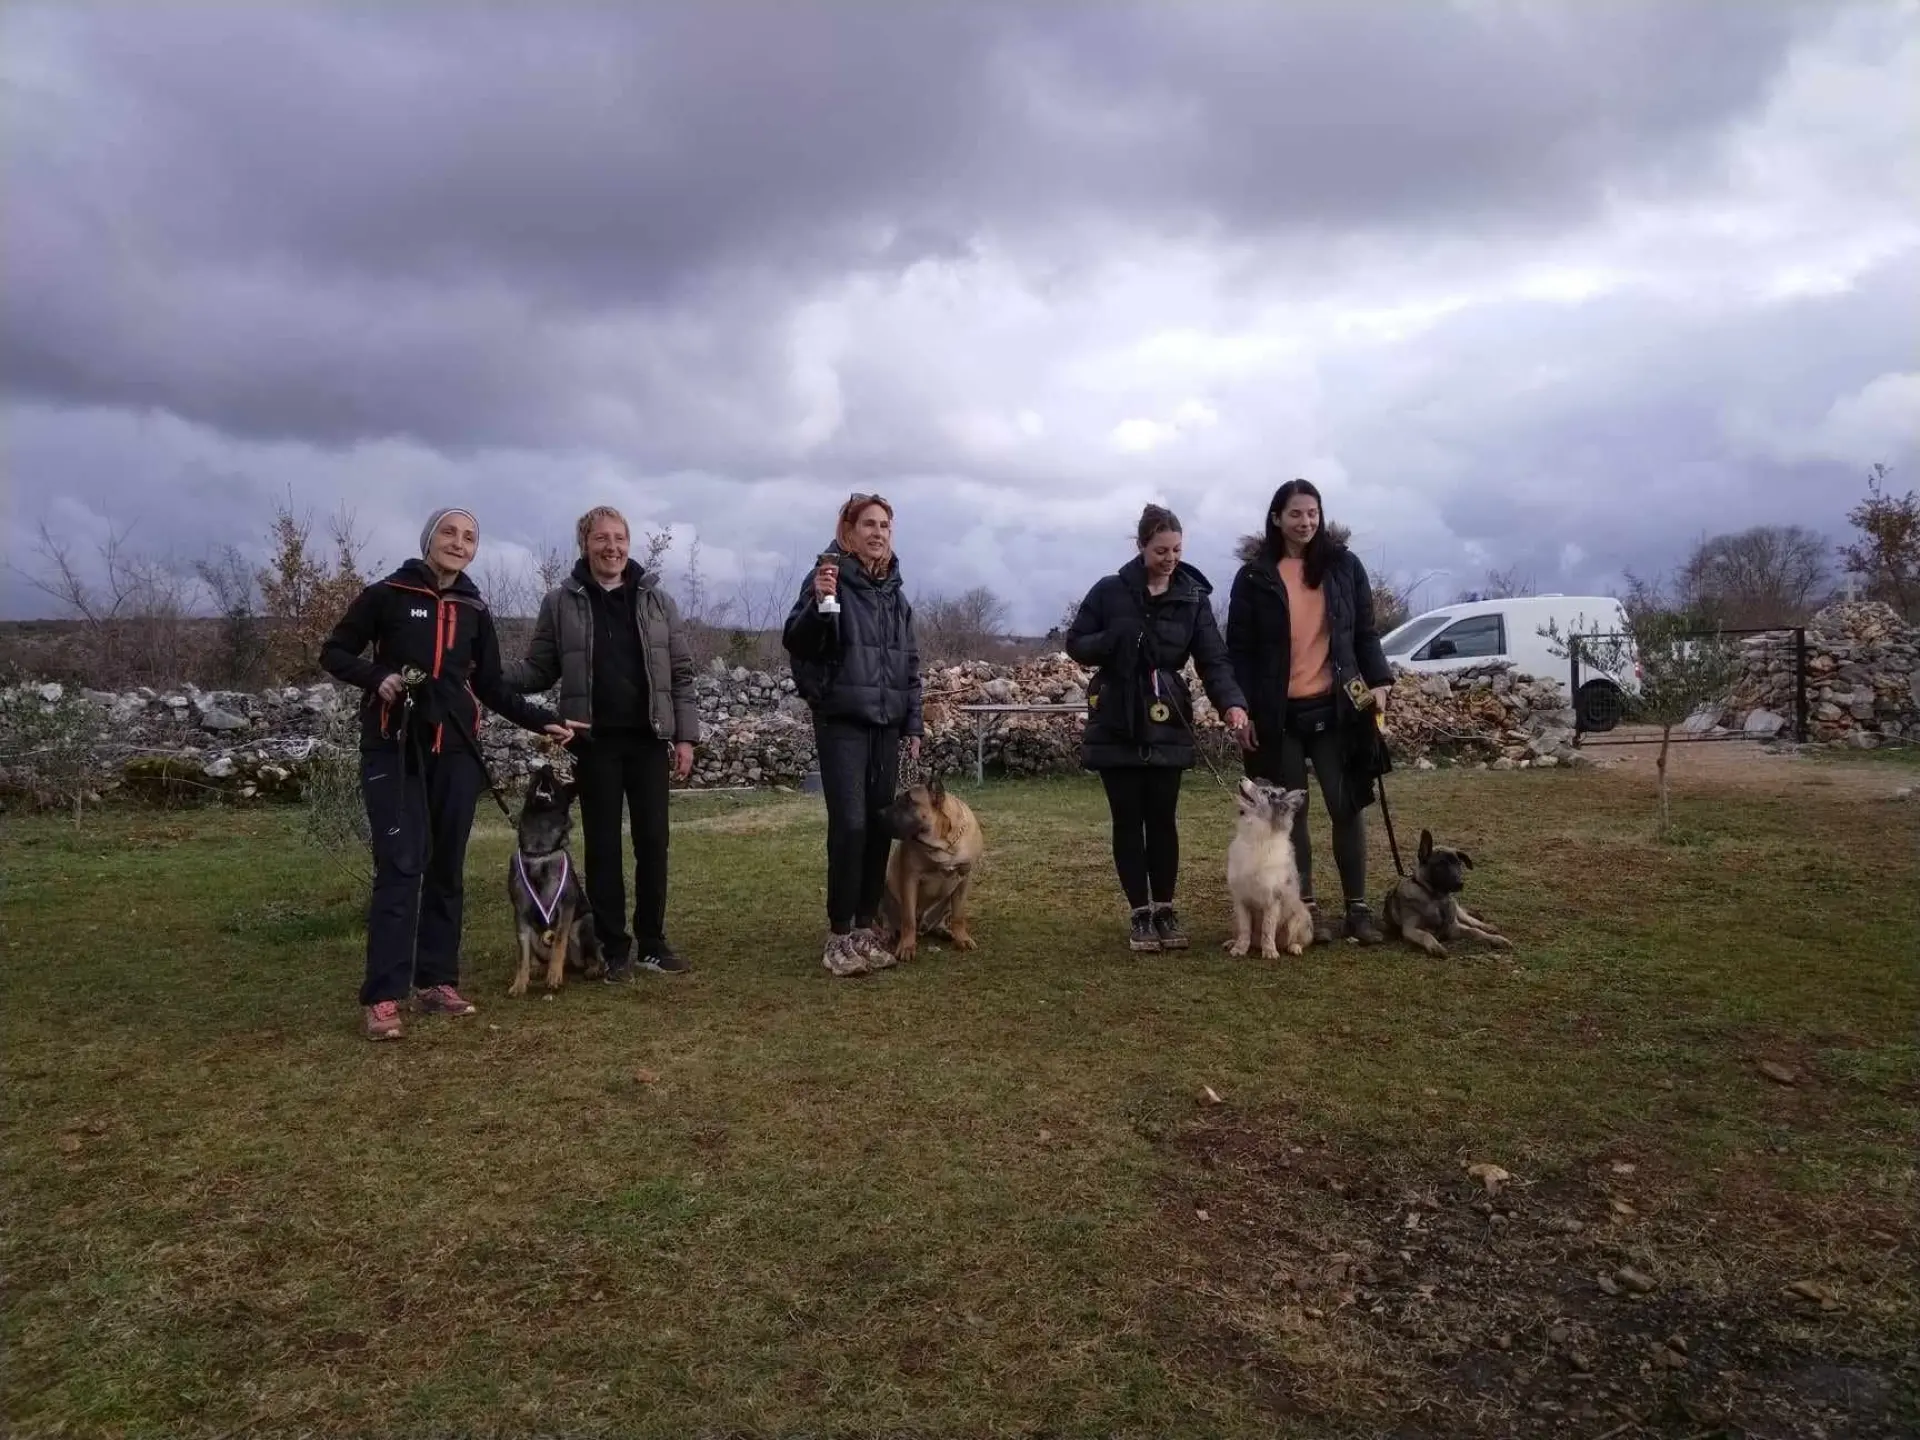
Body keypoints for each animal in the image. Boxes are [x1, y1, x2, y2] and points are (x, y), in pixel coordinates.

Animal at [506, 765, 606, 996]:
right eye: (534, 777)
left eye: (557, 780)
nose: (546, 767)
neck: (539, 850)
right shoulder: (520, 913)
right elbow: (522, 956)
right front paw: (520, 983)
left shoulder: (566, 906)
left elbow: (559, 940)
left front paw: (554, 976)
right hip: (536, 935)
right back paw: (537, 968)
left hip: (585, 923)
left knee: (594, 956)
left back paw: (592, 969)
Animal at [876, 776, 984, 963]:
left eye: (909, 801)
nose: (879, 813)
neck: (943, 844)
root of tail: (923, 928)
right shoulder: (910, 878)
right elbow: (908, 919)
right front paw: (907, 947)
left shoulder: (964, 878)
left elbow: (958, 916)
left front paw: (962, 938)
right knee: (889, 919)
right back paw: (888, 933)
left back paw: (945, 931)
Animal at [1224, 778, 1316, 959]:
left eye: (1266, 792)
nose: (1242, 778)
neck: (1256, 838)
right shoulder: (1241, 900)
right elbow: (1244, 929)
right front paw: (1239, 949)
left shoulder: (1272, 899)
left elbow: (1268, 928)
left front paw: (1269, 952)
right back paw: (1232, 942)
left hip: (1300, 917)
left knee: (1295, 940)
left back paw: (1294, 948)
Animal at [1381, 828, 1513, 958]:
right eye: (1440, 865)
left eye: (1458, 864)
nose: (1460, 883)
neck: (1436, 898)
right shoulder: (1410, 930)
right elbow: (1426, 935)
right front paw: (1435, 946)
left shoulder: (1453, 927)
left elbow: (1474, 931)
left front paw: (1496, 939)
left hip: (1457, 911)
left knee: (1469, 919)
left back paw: (1488, 927)